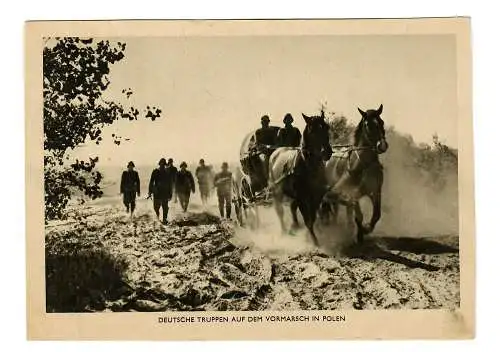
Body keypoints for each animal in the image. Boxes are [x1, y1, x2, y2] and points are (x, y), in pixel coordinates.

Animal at [268, 111, 334, 246]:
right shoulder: (302, 197)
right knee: (280, 211)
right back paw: (284, 231)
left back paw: (294, 226)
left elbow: (312, 217)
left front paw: (311, 236)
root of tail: (275, 153)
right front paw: (313, 241)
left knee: (292, 207)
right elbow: (307, 219)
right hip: (277, 191)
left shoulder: (317, 195)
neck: (309, 167)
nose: (327, 152)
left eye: (327, 127)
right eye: (312, 130)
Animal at [322, 103, 388, 243]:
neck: (365, 165)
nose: (382, 145)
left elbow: (376, 214)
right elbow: (359, 216)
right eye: (368, 125)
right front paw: (361, 233)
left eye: (381, 122)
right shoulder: (354, 193)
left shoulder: (375, 191)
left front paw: (367, 229)